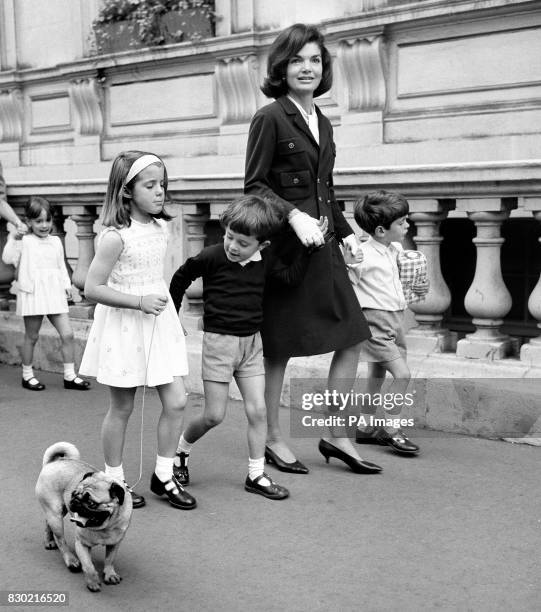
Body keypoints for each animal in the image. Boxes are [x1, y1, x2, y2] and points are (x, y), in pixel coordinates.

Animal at [35, 442, 132, 592]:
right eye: (74, 493)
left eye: (91, 503)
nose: (75, 501)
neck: (104, 528)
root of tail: (53, 462)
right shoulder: (82, 544)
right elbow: (88, 566)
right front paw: (93, 582)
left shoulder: (115, 543)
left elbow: (110, 560)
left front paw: (110, 574)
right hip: (55, 515)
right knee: (61, 541)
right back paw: (71, 561)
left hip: (58, 511)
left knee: (47, 523)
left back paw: (49, 541)